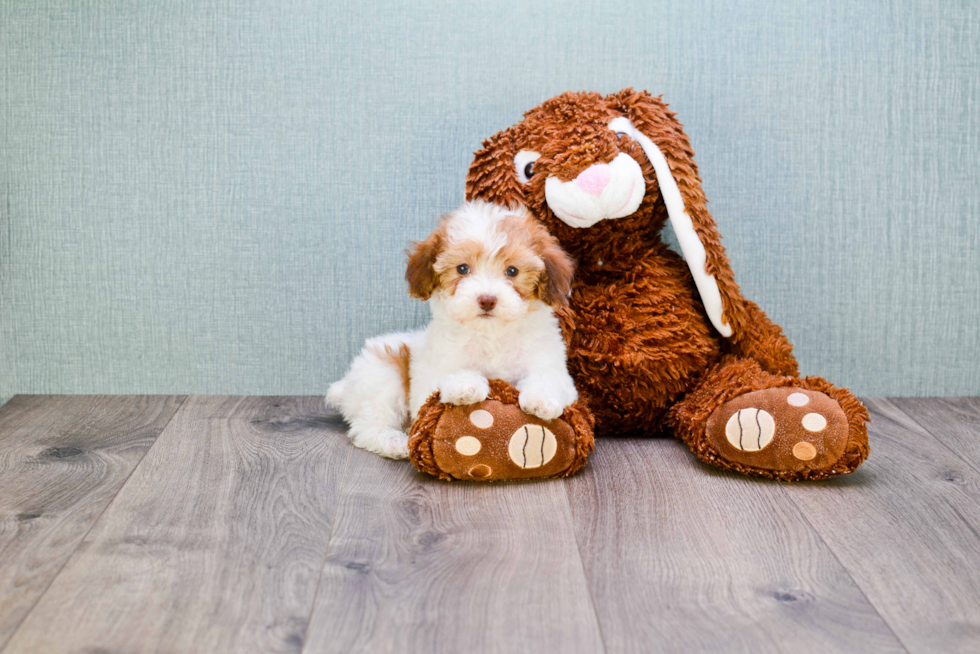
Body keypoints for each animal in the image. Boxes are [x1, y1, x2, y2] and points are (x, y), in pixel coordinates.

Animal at [326, 202, 580, 458]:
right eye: (463, 268)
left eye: (512, 271)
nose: (487, 299)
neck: (492, 334)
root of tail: (346, 385)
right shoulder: (430, 378)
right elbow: (448, 376)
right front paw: (465, 385)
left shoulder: (553, 367)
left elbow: (548, 378)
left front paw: (541, 400)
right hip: (381, 375)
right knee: (367, 425)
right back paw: (393, 441)